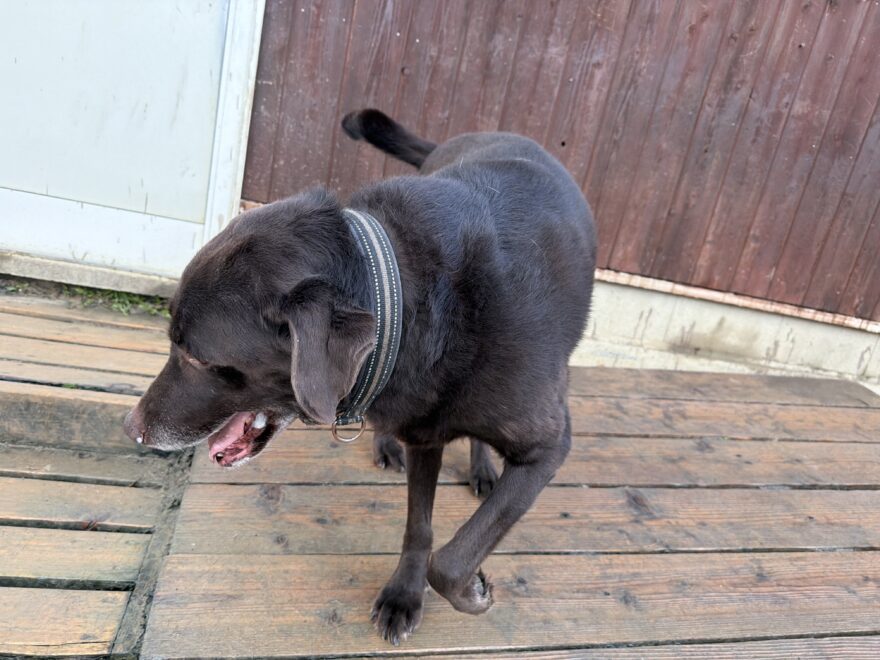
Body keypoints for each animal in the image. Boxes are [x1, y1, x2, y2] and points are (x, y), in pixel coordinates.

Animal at [124, 109, 595, 644]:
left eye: (198, 358)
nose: (131, 428)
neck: (406, 297)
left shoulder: (548, 448)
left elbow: (452, 560)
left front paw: (473, 590)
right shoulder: (424, 435)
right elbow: (420, 530)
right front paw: (405, 595)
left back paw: (480, 470)